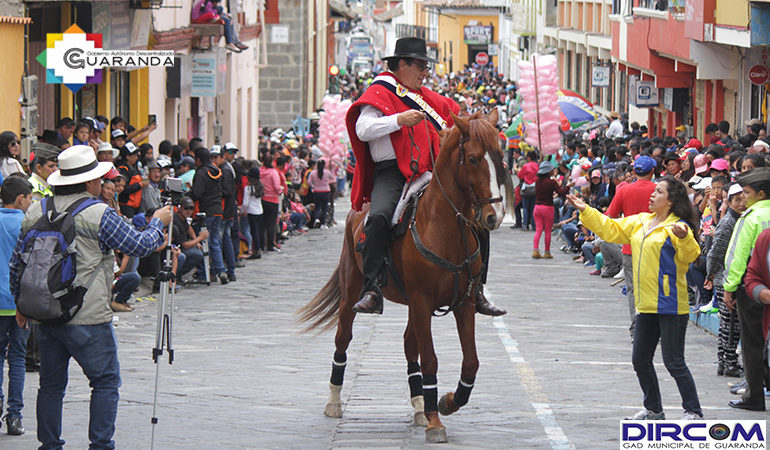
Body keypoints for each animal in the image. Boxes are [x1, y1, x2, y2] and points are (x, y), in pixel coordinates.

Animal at [296, 109, 512, 442]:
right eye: (474, 159)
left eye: (500, 157)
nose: (494, 217)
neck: (443, 228)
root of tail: (359, 209)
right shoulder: (422, 301)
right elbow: (431, 358)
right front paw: (437, 421)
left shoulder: (463, 304)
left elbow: (470, 363)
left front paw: (447, 402)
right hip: (352, 292)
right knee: (343, 339)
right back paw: (334, 401)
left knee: (410, 345)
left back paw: (420, 405)